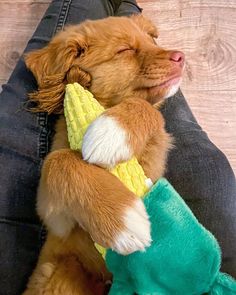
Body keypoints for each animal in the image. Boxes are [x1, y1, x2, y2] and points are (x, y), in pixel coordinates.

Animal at [23, 14, 185, 295]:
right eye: (125, 50)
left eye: (151, 41)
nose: (181, 57)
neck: (105, 105)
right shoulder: (54, 219)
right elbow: (57, 160)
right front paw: (121, 218)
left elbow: (147, 107)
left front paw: (112, 130)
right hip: (59, 270)